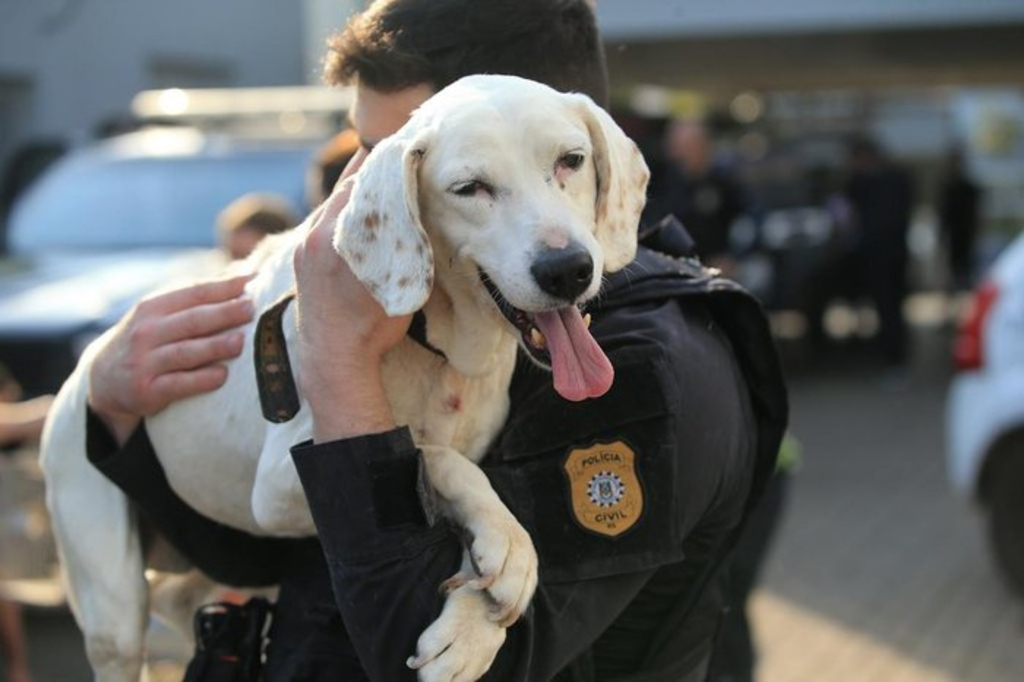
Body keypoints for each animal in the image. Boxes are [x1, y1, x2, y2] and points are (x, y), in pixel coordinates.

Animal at [41, 71, 647, 675]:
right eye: (469, 188)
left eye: (571, 161)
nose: (566, 269)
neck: (439, 348)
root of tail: (81, 374)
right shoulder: (282, 486)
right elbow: (432, 456)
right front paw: (509, 544)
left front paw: (471, 628)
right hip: (112, 607)